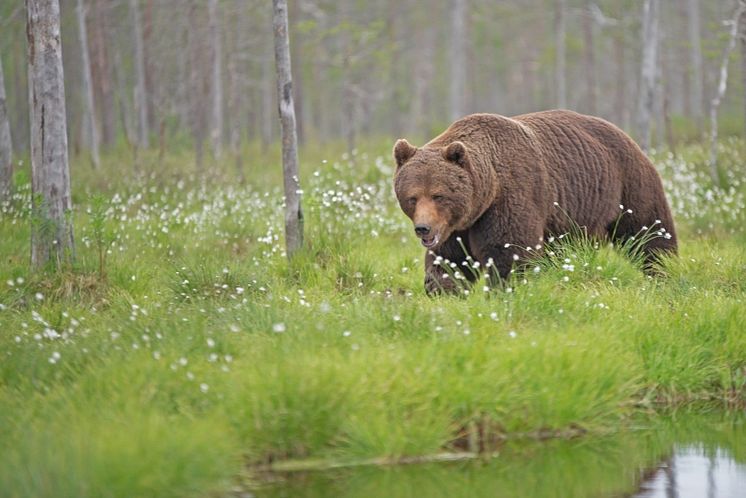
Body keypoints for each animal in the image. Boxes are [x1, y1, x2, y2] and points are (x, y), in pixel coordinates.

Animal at [392, 111, 676, 294]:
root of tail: (626, 135)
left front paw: (502, 289)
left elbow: (509, 250)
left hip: (628, 184)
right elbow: (449, 258)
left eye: (439, 195)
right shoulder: (455, 226)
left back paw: (662, 270)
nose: (423, 228)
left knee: (648, 231)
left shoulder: (510, 198)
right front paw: (442, 288)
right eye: (412, 197)